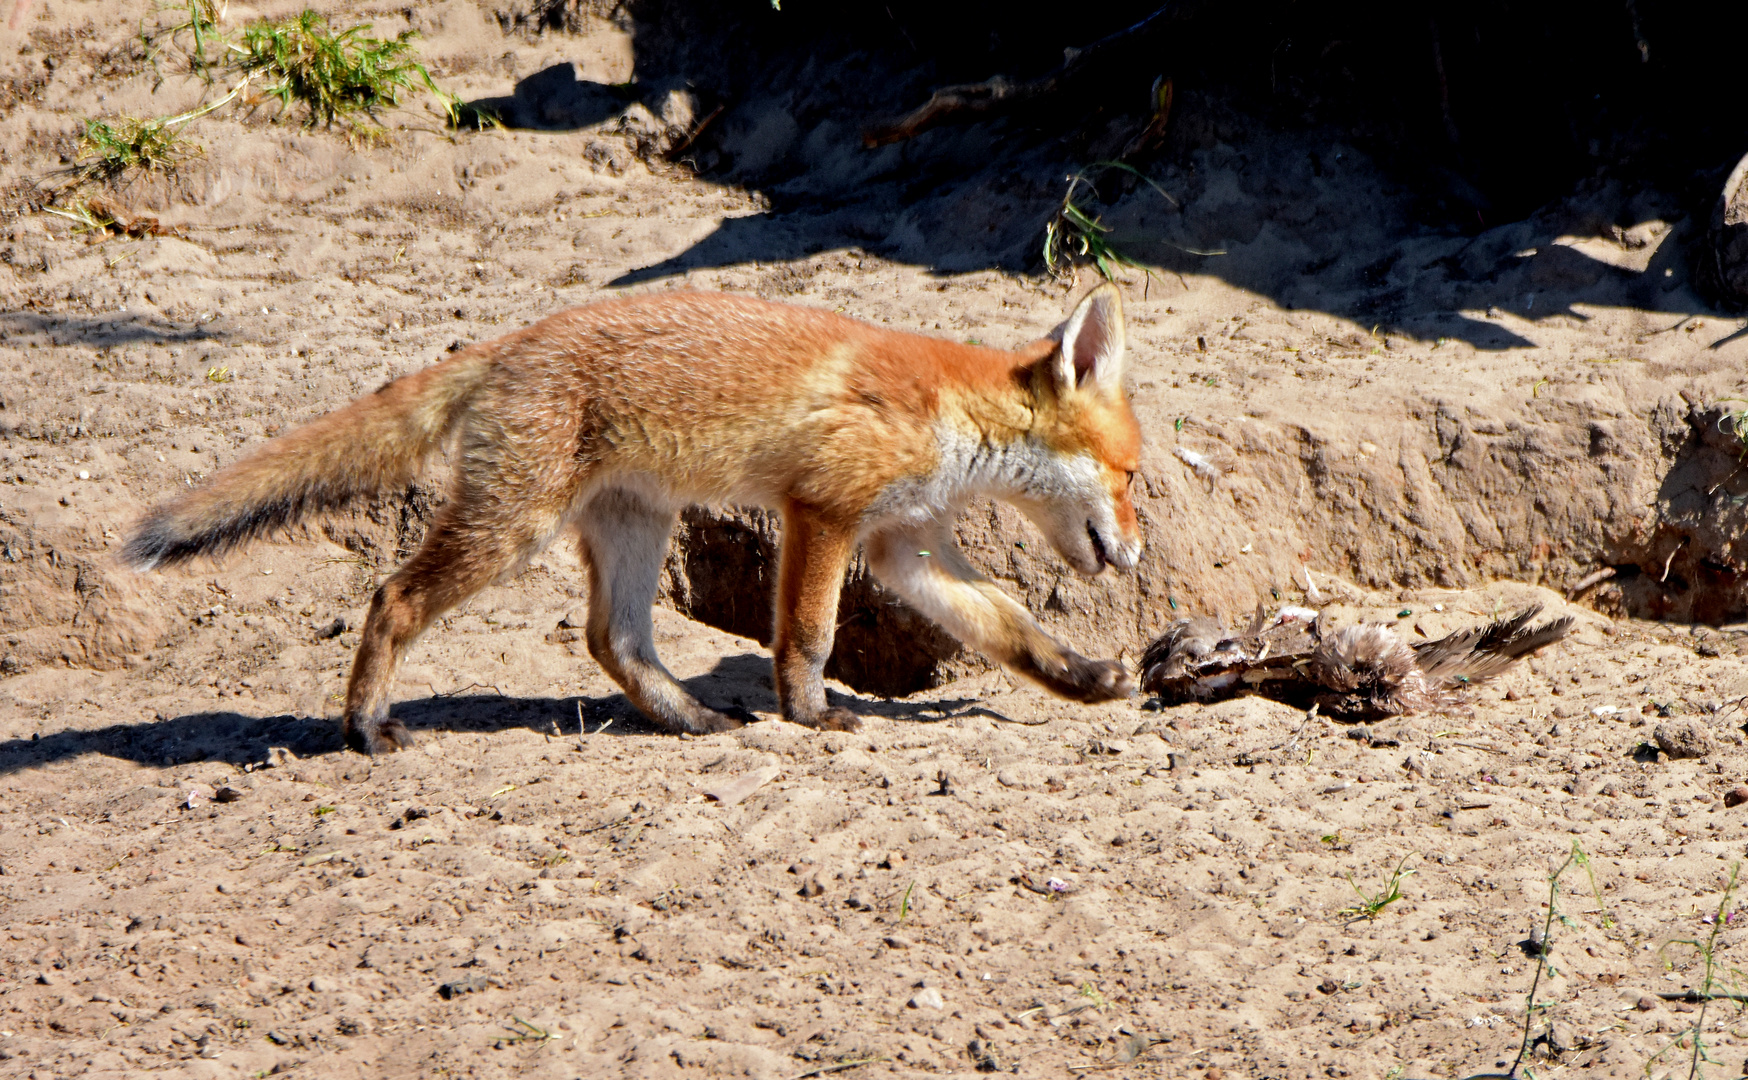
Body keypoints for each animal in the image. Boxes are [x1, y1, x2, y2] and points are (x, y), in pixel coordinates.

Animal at [136, 283, 1146, 747]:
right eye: (1133, 476)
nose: (1137, 556)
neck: (948, 417)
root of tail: (514, 342)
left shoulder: (905, 543)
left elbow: (1010, 628)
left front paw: (1088, 679)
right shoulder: (823, 511)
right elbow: (809, 635)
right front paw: (811, 716)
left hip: (633, 526)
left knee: (612, 640)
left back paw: (688, 718)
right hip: (510, 528)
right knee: (392, 599)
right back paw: (365, 726)